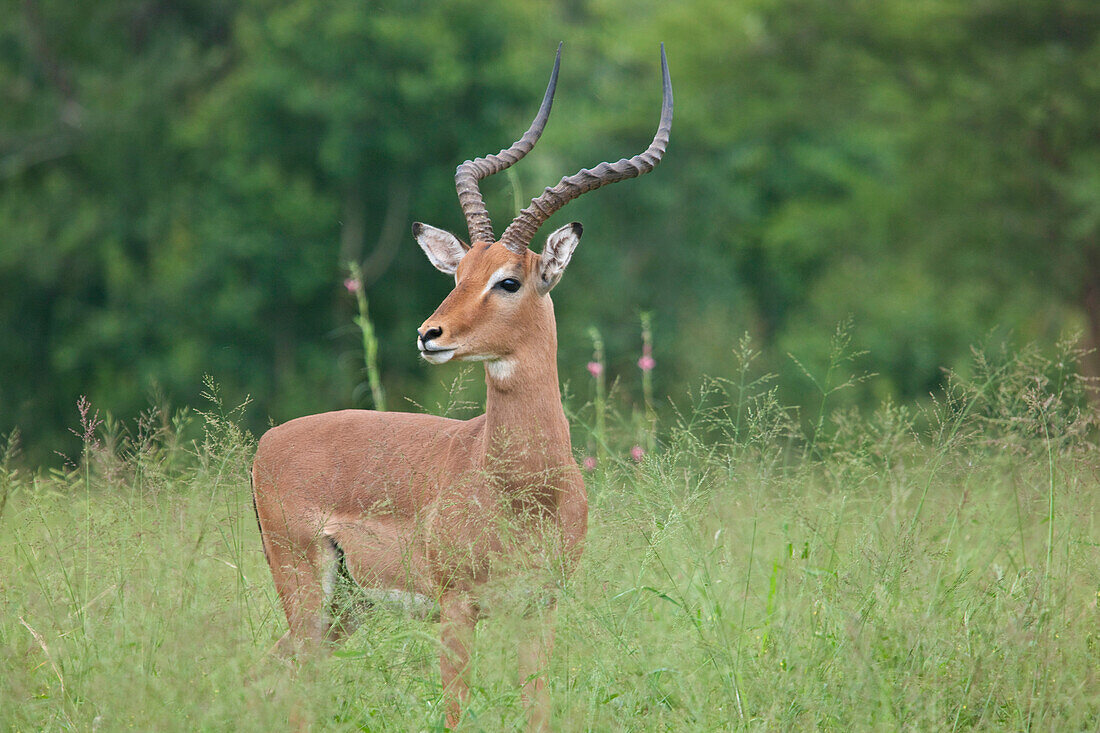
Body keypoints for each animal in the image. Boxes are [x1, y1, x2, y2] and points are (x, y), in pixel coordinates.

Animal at [250, 44, 673, 726]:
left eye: (508, 279)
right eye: (459, 272)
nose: (430, 334)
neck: (522, 489)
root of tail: (265, 443)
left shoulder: (540, 608)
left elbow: (537, 703)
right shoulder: (457, 607)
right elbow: (454, 709)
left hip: (348, 607)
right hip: (307, 589)